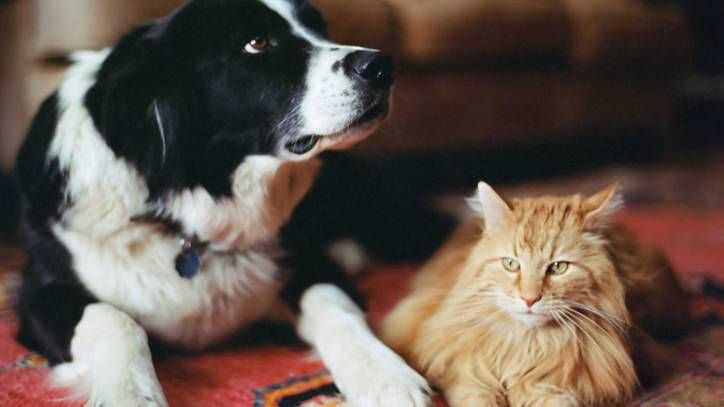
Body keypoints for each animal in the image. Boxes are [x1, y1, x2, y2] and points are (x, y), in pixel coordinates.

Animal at [12, 1, 442, 406]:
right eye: (257, 43)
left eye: (319, 28)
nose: (383, 66)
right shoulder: (38, 293)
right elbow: (112, 319)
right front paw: (130, 394)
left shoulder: (309, 263)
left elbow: (335, 307)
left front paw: (385, 374)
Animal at [382, 183, 688, 406]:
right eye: (511, 264)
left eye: (559, 267)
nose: (529, 299)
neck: (527, 344)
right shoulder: (465, 371)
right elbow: (476, 394)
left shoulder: (557, 387)